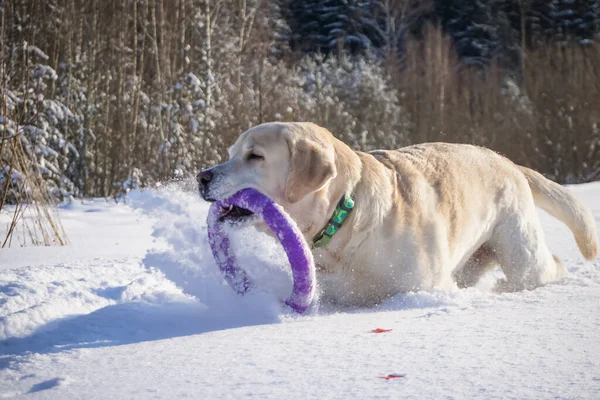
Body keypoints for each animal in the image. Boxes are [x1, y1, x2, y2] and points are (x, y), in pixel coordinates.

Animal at [198, 122, 596, 306]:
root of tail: (509, 161)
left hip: (521, 253)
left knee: (549, 266)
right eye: (230, 153)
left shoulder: (426, 285)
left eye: (255, 156)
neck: (346, 218)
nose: (202, 176)